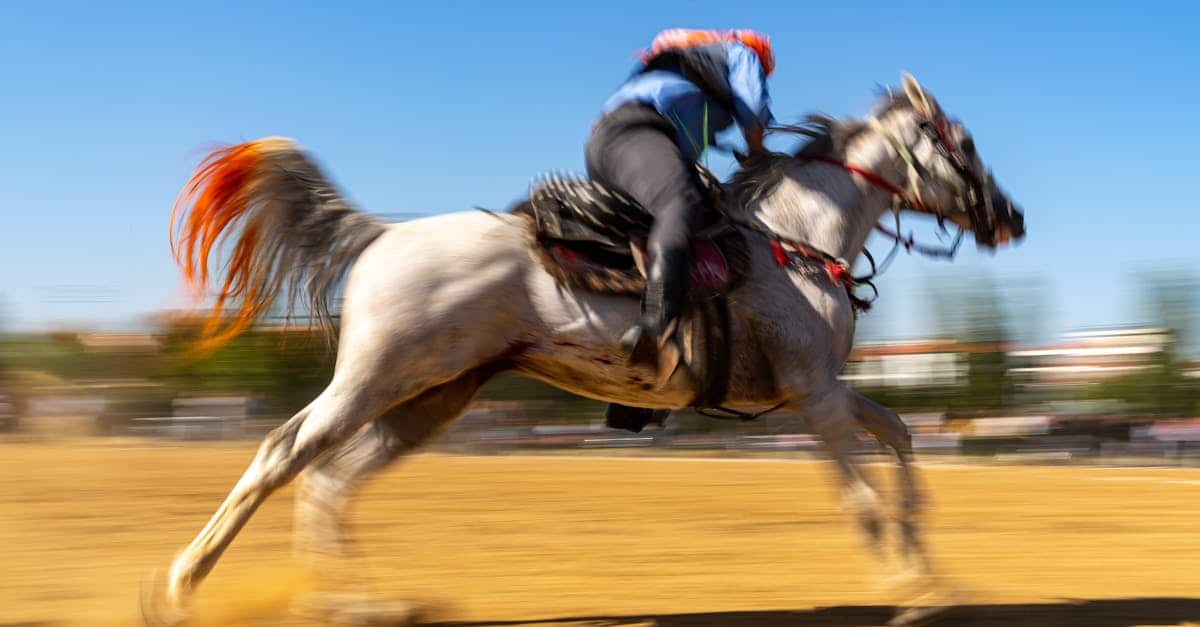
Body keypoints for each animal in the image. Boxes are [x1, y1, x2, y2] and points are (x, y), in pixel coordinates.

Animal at [145, 73, 1025, 626]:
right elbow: (864, 500)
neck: (795, 242)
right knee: (282, 453)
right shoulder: (813, 394)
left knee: (328, 480)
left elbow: (902, 438)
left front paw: (932, 570)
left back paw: (357, 606)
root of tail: (381, 235)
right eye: (962, 143)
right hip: (374, 380)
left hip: (429, 400)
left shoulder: (821, 393)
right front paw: (911, 585)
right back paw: (181, 587)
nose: (1009, 216)